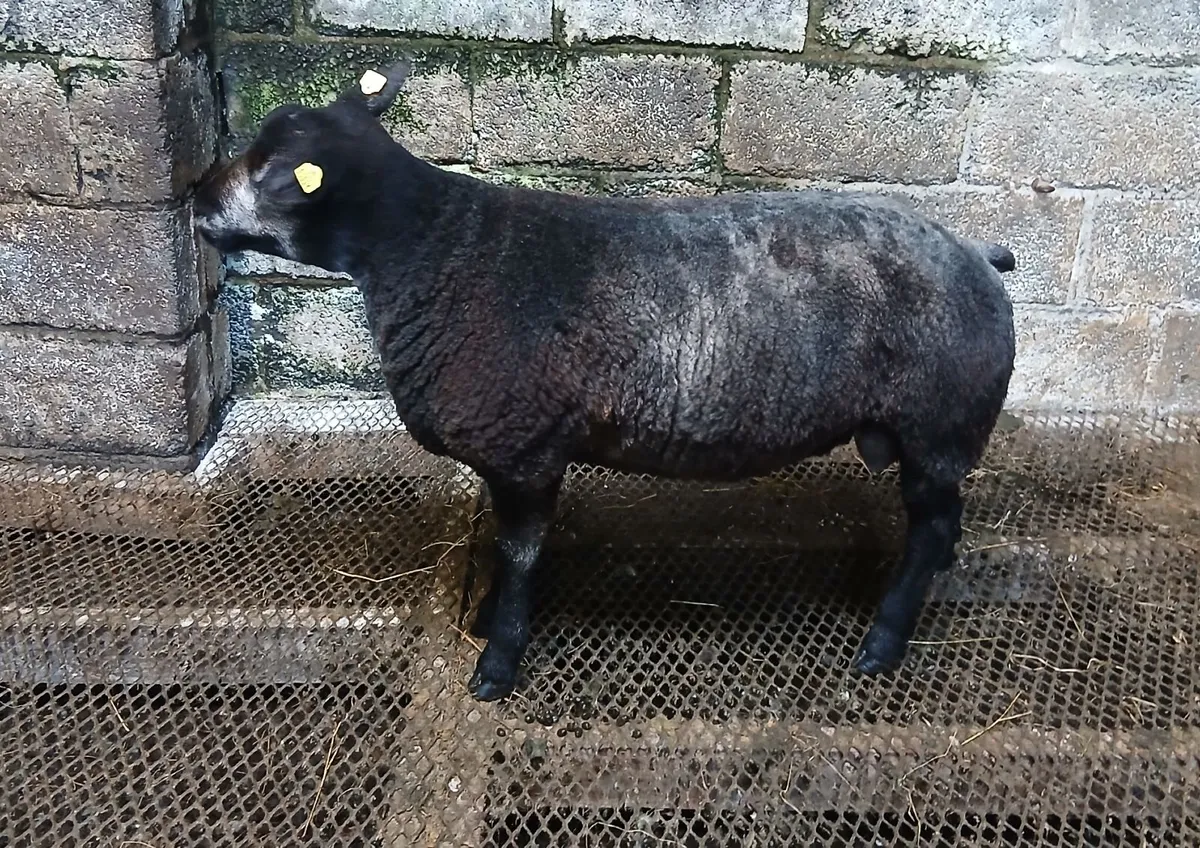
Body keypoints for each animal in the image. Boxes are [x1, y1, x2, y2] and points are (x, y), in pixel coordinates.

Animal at [194, 59, 1018, 702]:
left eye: (269, 174)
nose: (196, 198)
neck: (434, 250)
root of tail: (980, 253)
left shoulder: (526, 451)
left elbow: (520, 555)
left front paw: (498, 663)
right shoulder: (512, 453)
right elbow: (508, 549)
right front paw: (489, 621)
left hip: (939, 425)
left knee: (931, 525)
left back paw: (884, 642)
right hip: (932, 437)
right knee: (942, 522)